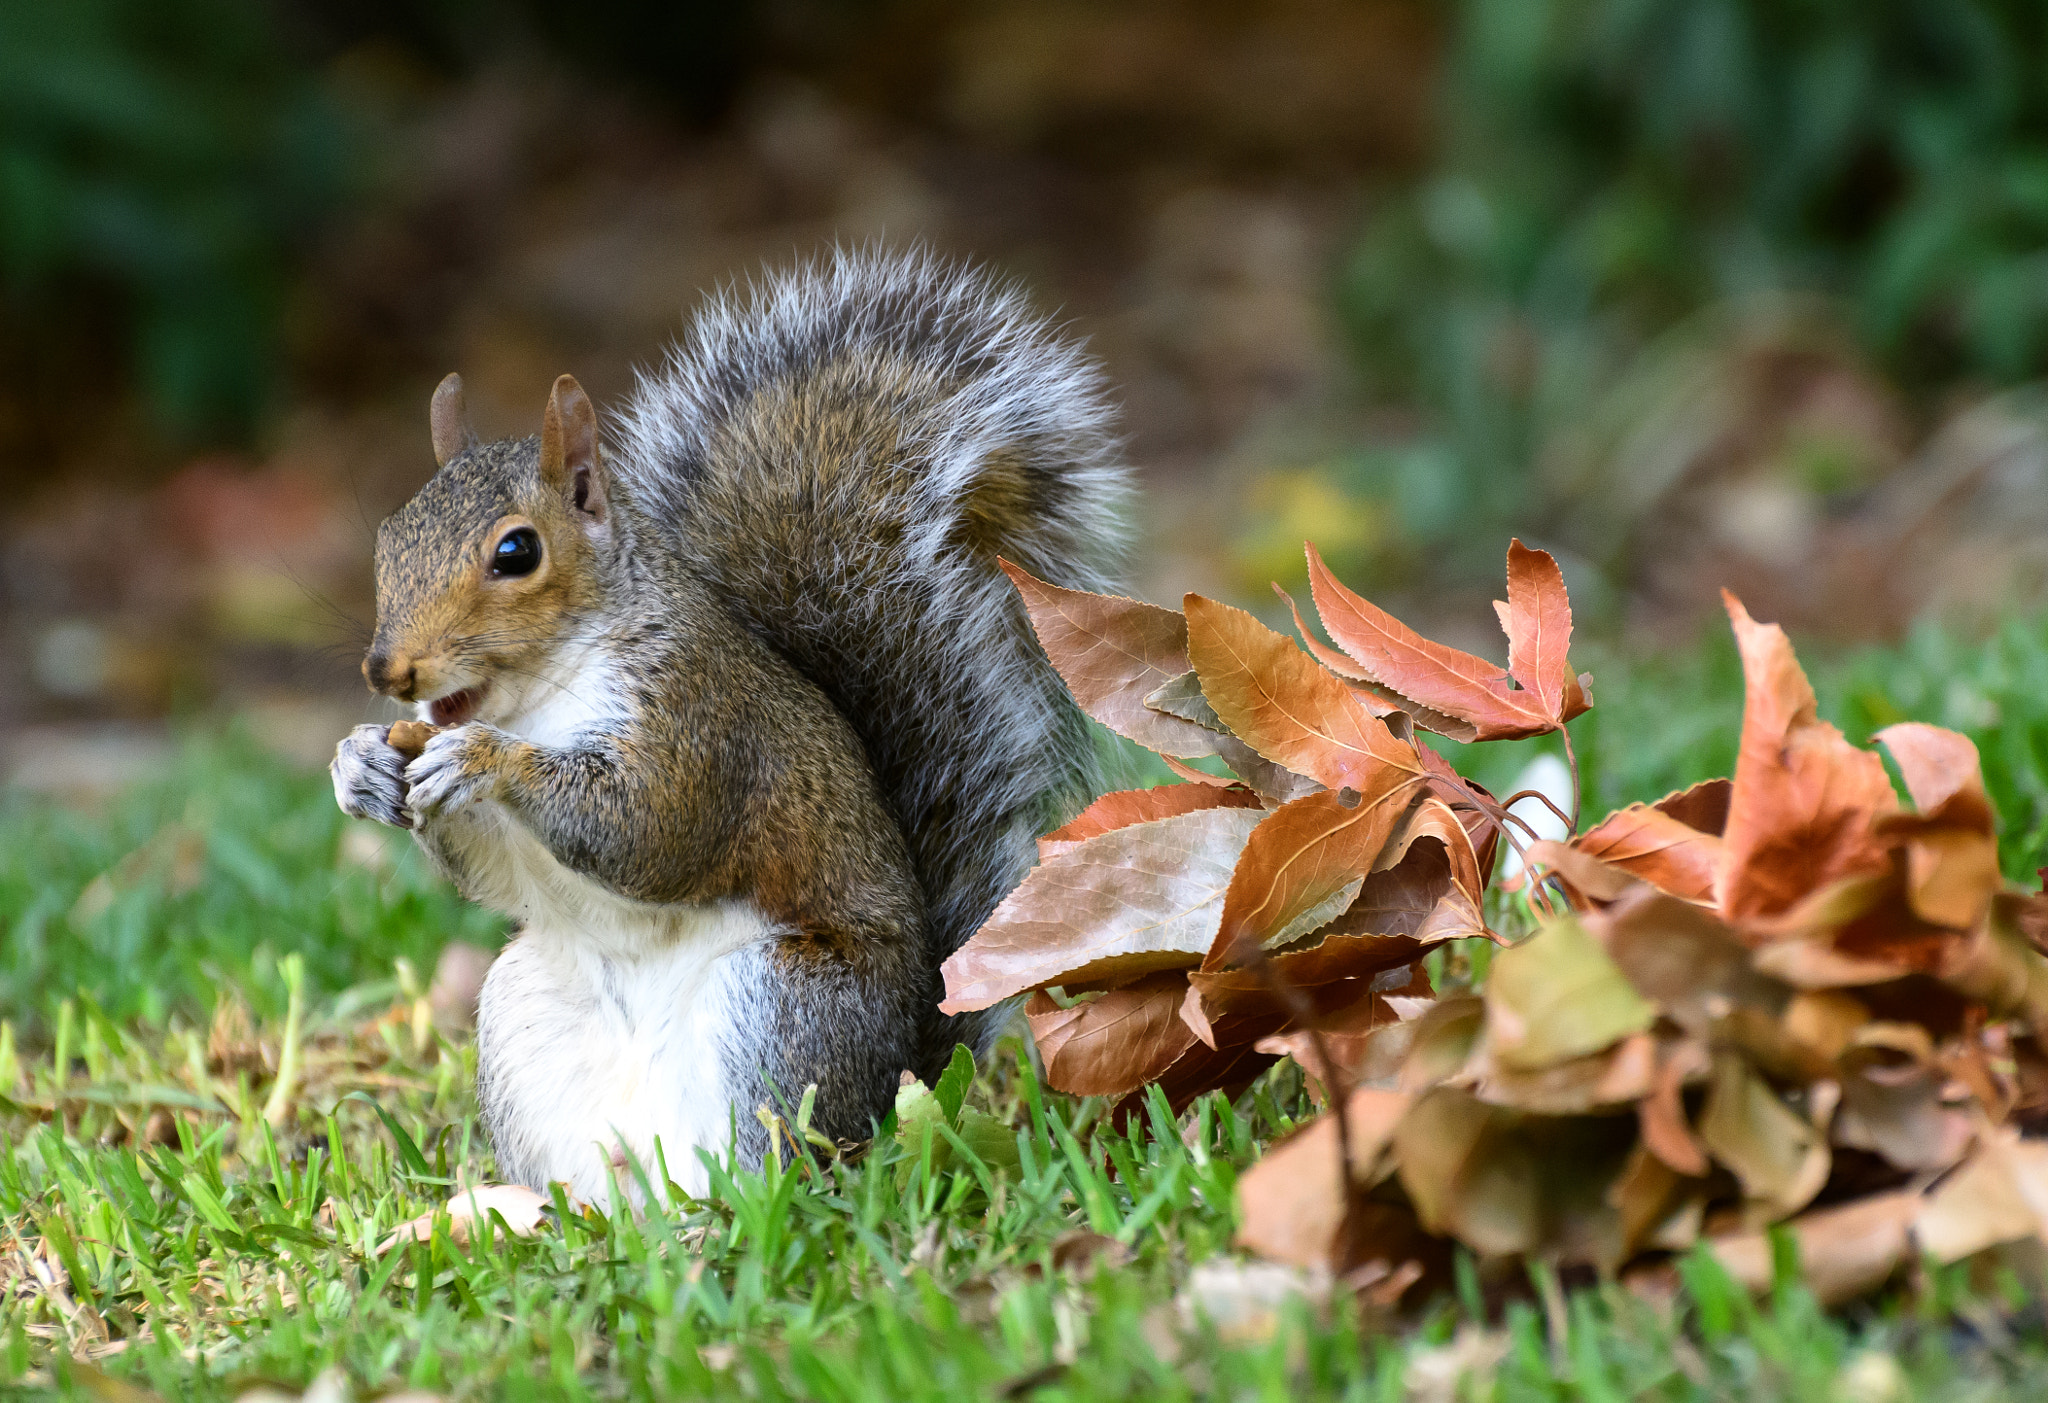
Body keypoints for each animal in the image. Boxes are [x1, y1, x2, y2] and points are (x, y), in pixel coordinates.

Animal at [331, 249, 1129, 1201]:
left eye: (516, 552)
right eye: (388, 538)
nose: (388, 671)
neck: (540, 695)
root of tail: (899, 1084)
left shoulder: (696, 719)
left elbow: (650, 832)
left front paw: (489, 761)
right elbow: (492, 871)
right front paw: (359, 765)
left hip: (780, 1008)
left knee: (778, 1164)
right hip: (524, 1017)